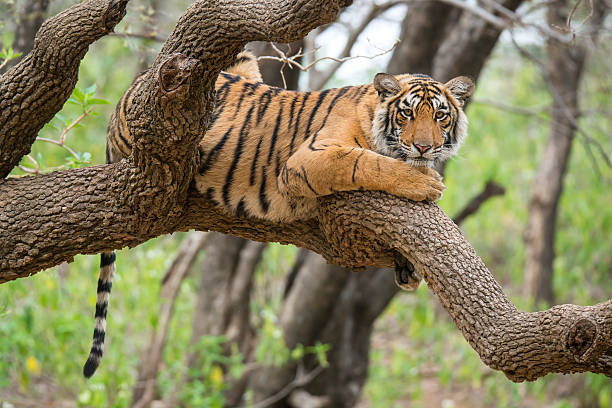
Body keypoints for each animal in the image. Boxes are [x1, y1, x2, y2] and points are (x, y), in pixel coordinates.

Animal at [82, 49, 474, 378]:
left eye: (440, 115)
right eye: (407, 113)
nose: (424, 147)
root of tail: (123, 97)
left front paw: (407, 266)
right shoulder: (310, 158)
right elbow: (367, 162)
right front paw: (424, 182)